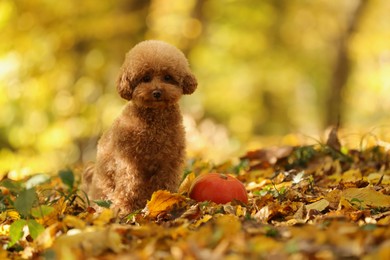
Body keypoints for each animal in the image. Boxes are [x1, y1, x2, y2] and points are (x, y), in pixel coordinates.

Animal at [82, 40, 198, 215]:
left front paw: (164, 201)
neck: (154, 123)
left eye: (168, 77)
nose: (157, 92)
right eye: (146, 78)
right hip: (104, 183)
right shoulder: (129, 161)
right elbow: (129, 186)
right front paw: (125, 208)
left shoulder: (169, 161)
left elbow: (164, 182)